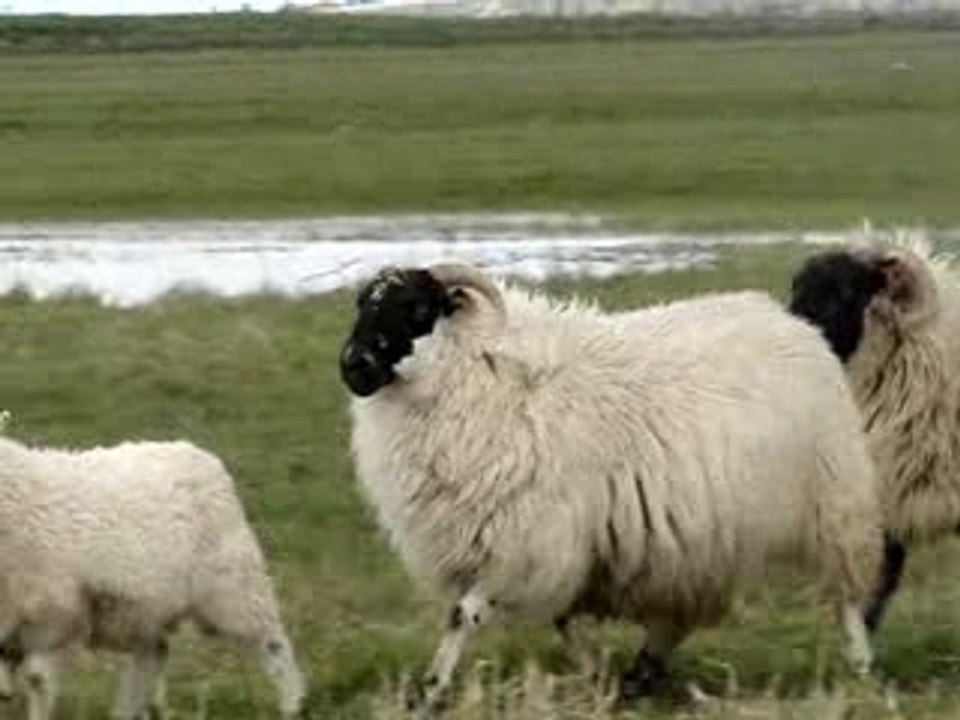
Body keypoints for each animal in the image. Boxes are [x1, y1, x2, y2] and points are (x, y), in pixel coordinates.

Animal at [0, 436, 305, 719]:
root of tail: (196, 452)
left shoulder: (52, 616)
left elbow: (37, 682)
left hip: (233, 584)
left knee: (273, 642)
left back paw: (292, 704)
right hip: (146, 608)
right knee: (153, 654)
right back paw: (129, 709)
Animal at [338, 262, 882, 710]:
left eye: (416, 308)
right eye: (364, 305)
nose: (353, 365)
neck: (480, 373)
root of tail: (793, 324)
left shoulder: (527, 541)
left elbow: (463, 614)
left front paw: (429, 691)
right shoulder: (553, 546)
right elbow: (562, 618)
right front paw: (597, 678)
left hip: (834, 500)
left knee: (846, 596)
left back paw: (861, 668)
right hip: (706, 537)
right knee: (678, 614)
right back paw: (642, 674)